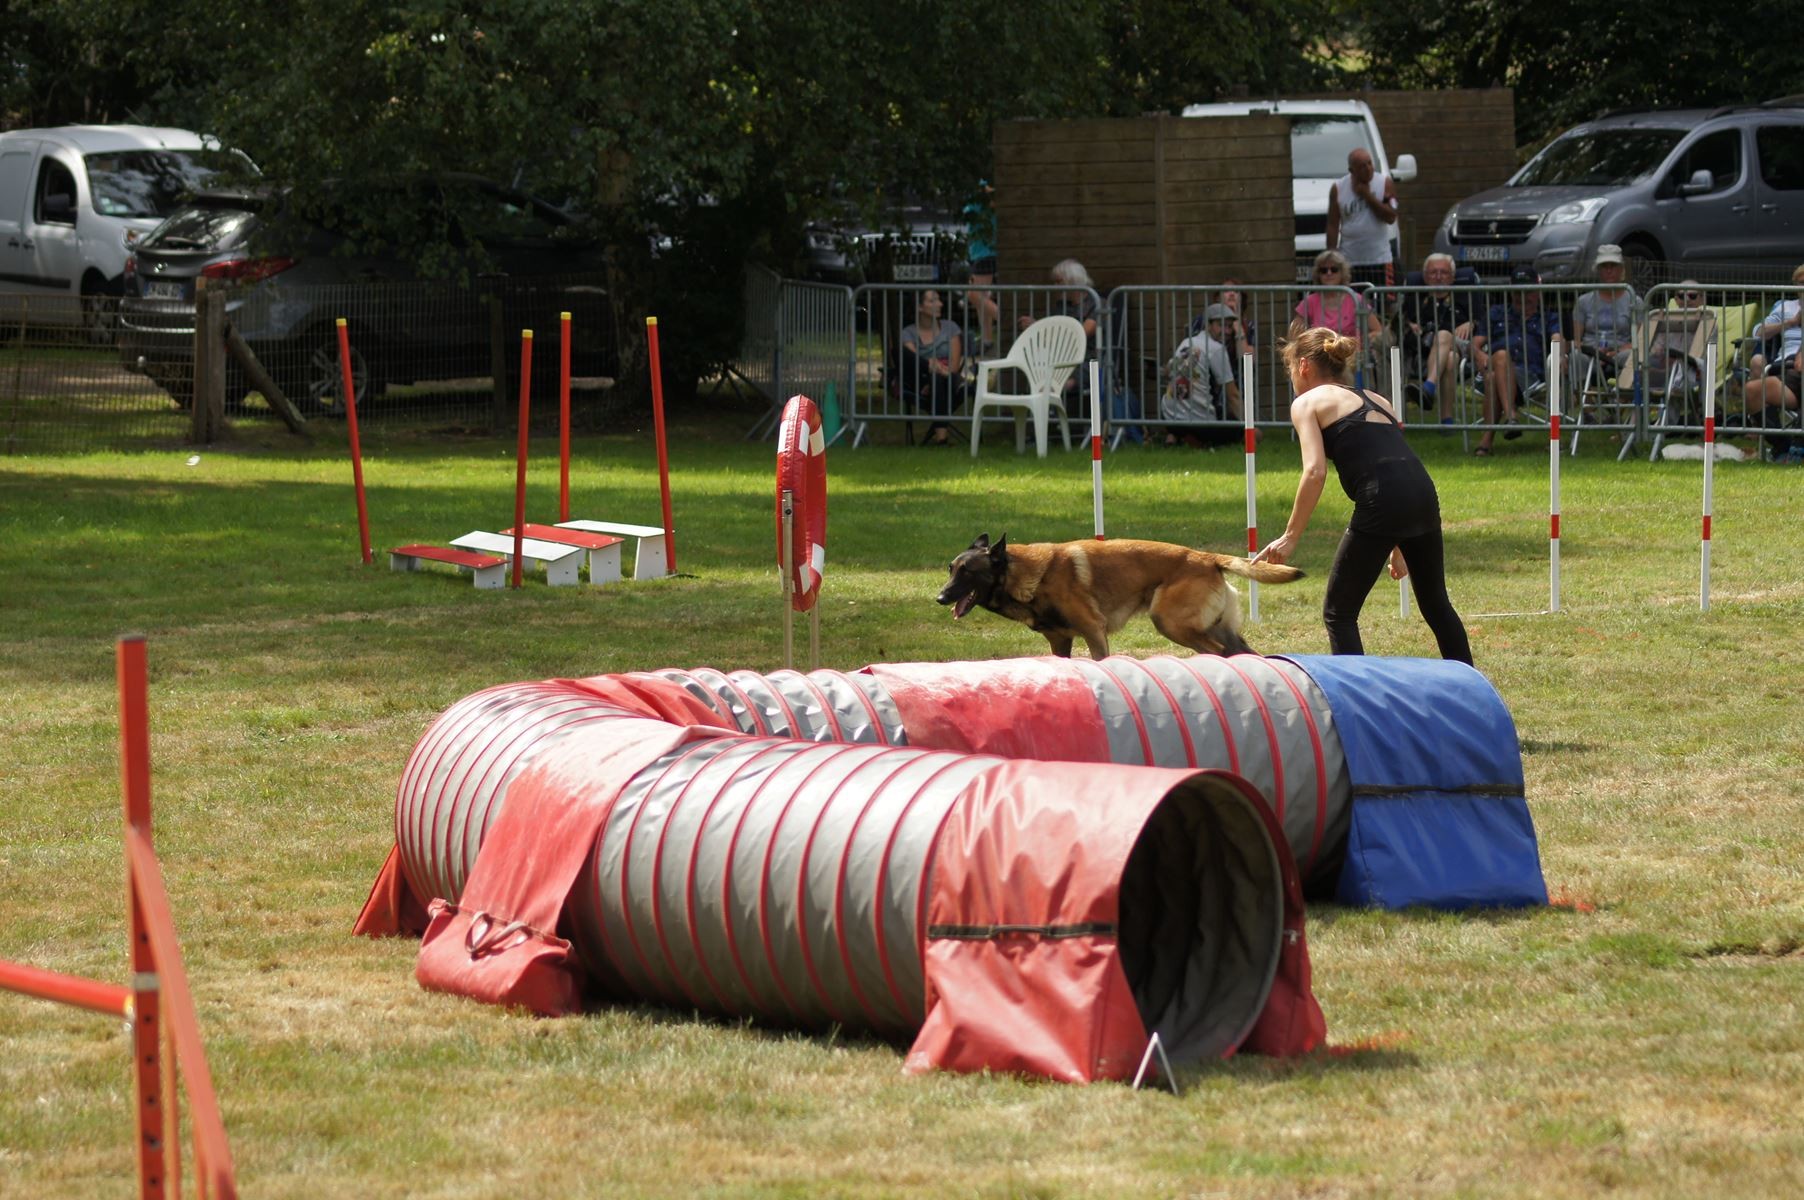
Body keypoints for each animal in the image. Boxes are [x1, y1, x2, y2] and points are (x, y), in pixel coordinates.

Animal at [938, 530, 1306, 656]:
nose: (940, 598)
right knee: (1243, 653)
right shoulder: (1060, 641)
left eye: (968, 572)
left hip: (1169, 621)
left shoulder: (1093, 631)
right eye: (951, 569)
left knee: (1218, 652)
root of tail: (1206, 557)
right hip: (1215, 628)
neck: (1028, 576)